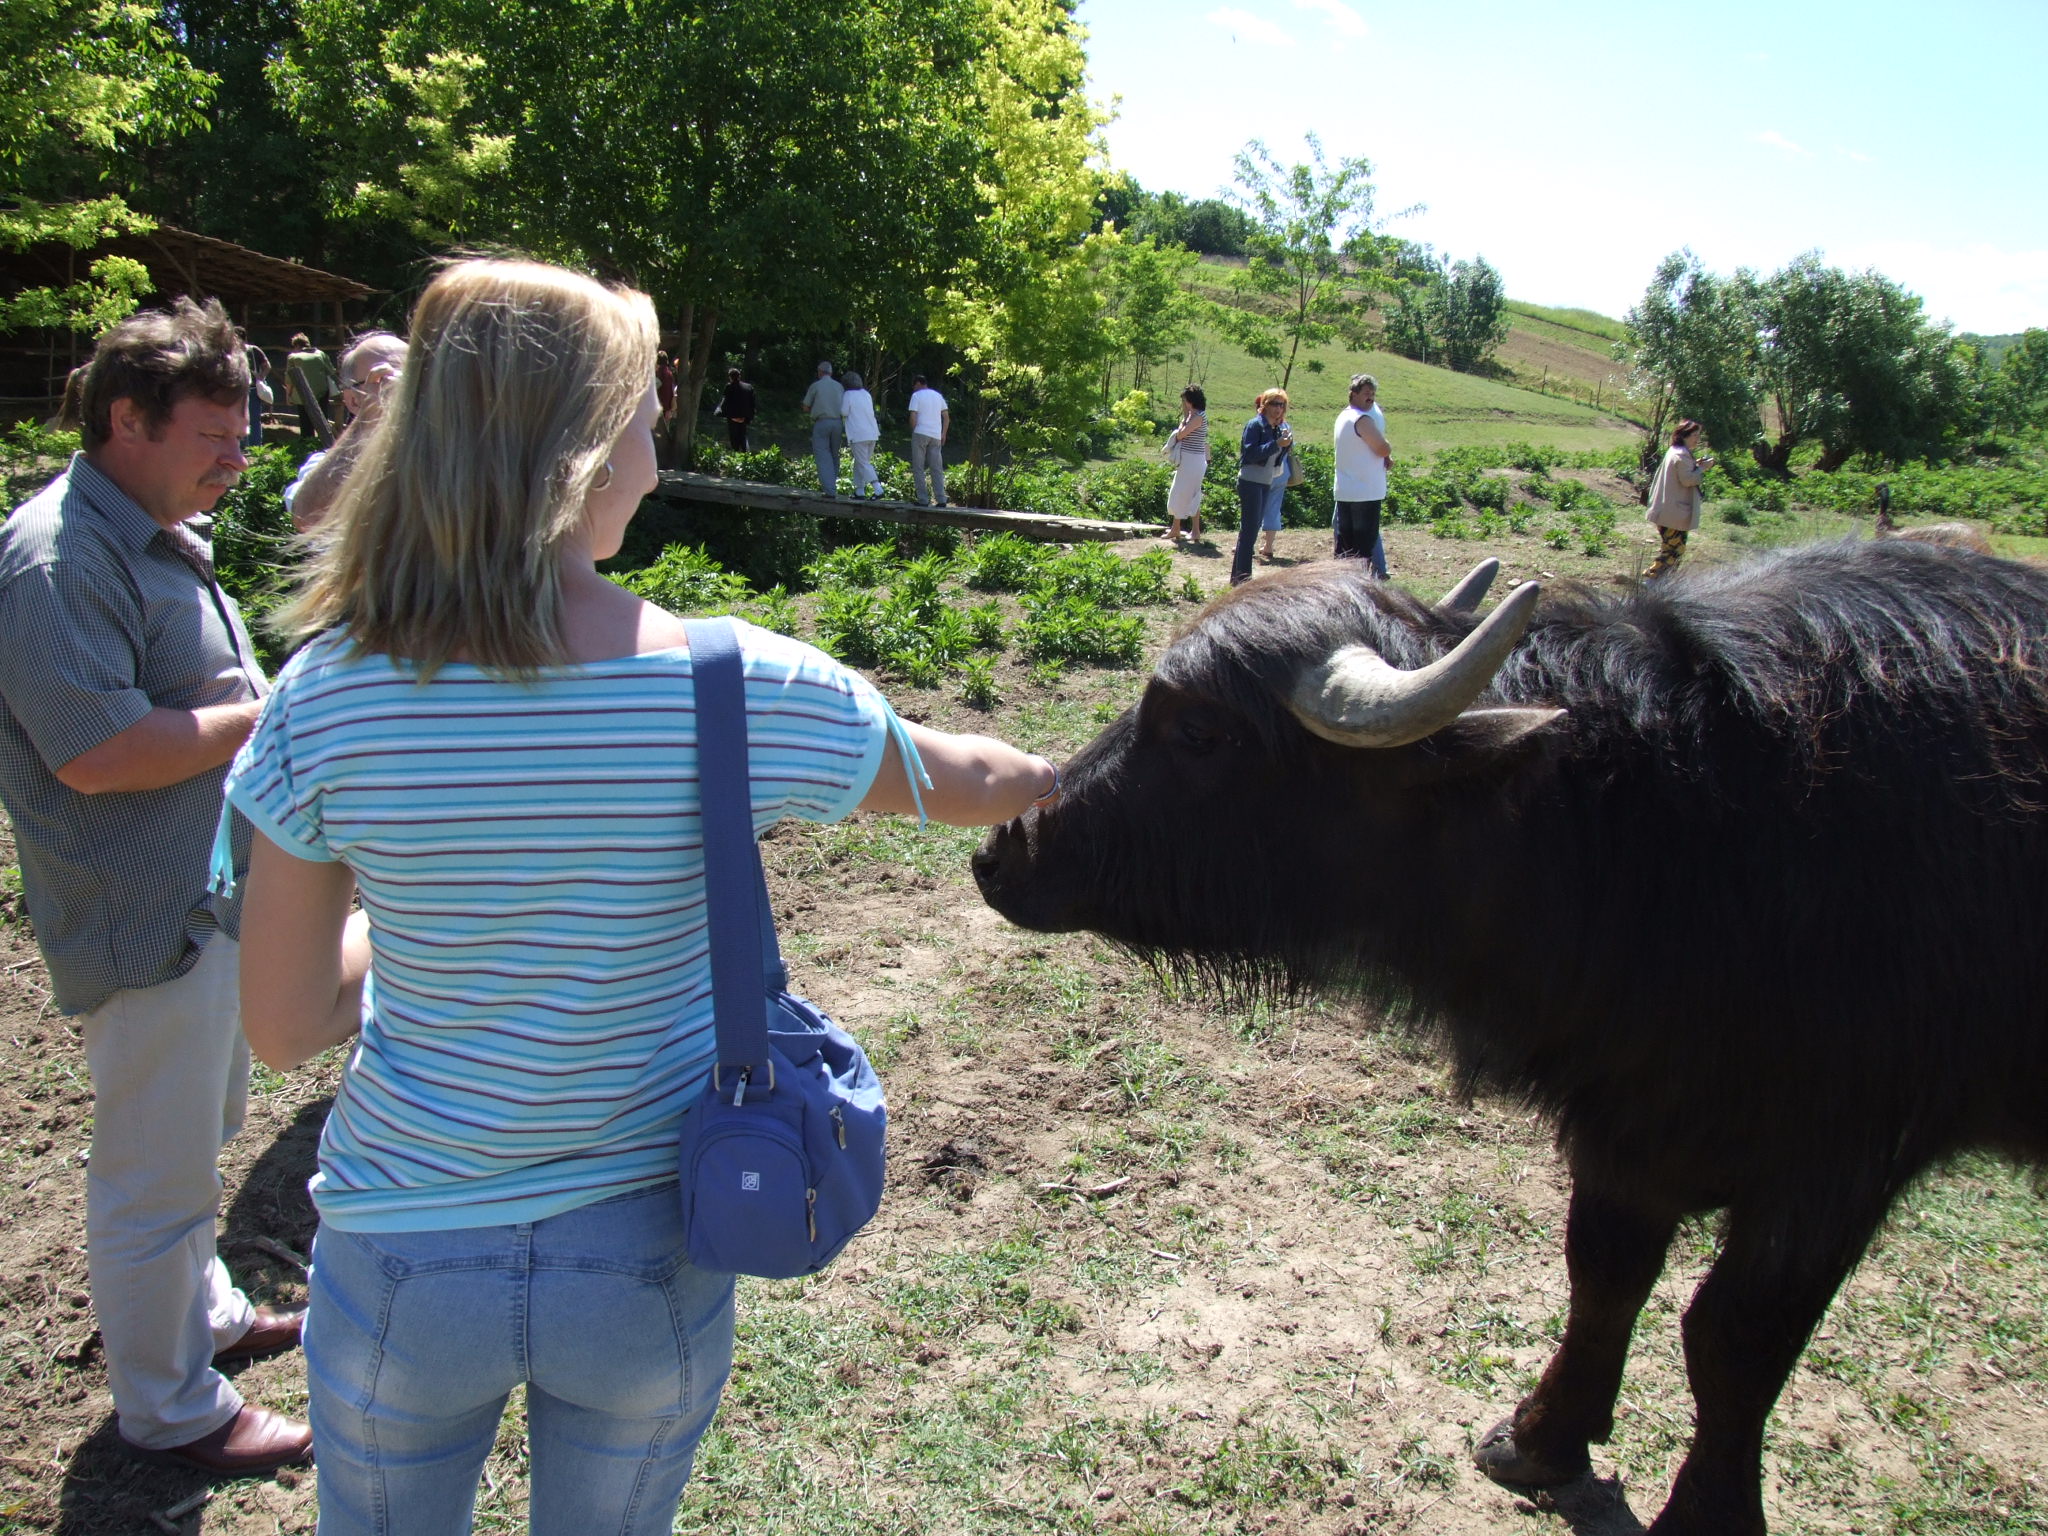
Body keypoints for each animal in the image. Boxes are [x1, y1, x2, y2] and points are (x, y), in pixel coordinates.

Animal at [972, 542, 2048, 1536]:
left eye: (1201, 729)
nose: (1003, 848)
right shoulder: (1630, 1118)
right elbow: (1604, 1271)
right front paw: (1541, 1438)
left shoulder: (1833, 1166)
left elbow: (1734, 1342)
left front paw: (1706, 1509)